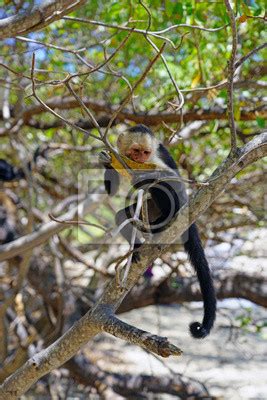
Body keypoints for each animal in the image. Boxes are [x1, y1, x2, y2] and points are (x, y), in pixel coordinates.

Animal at [99, 125, 217, 338]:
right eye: (135, 151)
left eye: (145, 152)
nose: (140, 159)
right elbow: (112, 188)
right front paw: (105, 159)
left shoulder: (155, 159)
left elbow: (170, 176)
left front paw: (142, 176)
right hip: (150, 208)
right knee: (123, 216)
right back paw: (137, 247)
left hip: (175, 204)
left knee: (163, 186)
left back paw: (164, 219)